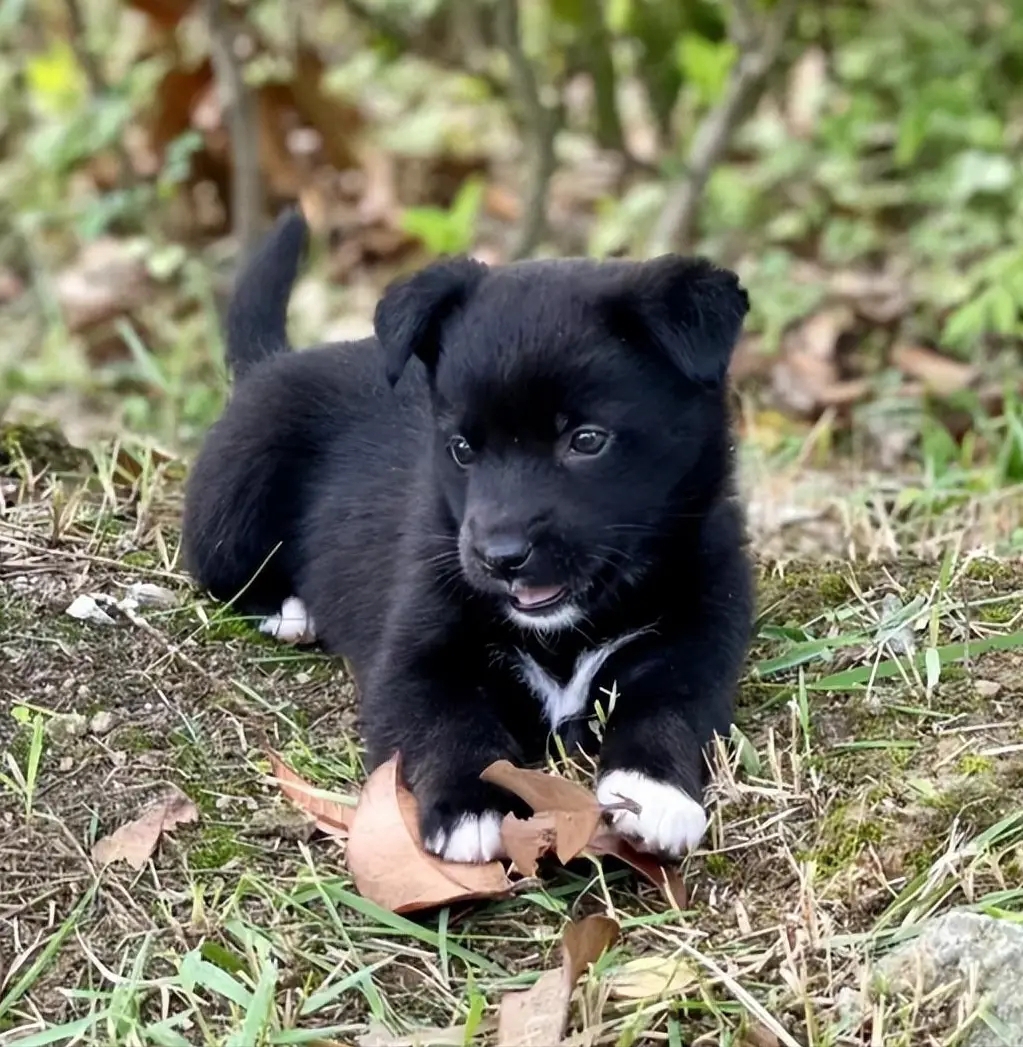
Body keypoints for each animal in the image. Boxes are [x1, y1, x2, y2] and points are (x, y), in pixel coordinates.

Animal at [183, 208, 749, 862]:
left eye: (586, 440)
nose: (499, 557)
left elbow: (669, 709)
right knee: (218, 568)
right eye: (461, 448)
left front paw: (653, 791)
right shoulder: (416, 657)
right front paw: (468, 806)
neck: (565, 629)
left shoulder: (698, 639)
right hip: (235, 498)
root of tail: (271, 363)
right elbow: (448, 725)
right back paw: (287, 609)